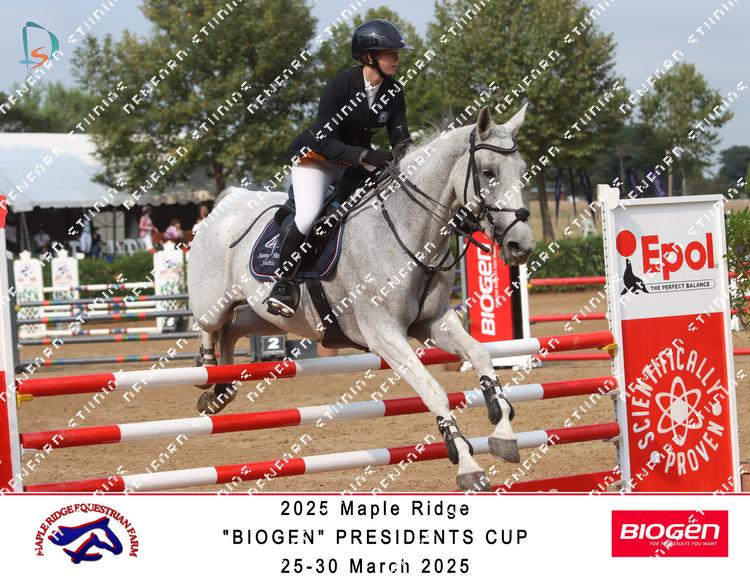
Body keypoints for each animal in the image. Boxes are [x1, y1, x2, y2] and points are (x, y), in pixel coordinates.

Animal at [187, 104, 536, 491]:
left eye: (522, 170)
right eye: (488, 172)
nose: (521, 245)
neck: (411, 229)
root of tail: (229, 199)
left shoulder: (433, 321)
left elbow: (480, 355)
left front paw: (503, 434)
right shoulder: (384, 334)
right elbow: (433, 390)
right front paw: (468, 466)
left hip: (269, 317)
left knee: (233, 329)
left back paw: (220, 390)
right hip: (214, 302)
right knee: (211, 325)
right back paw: (208, 372)